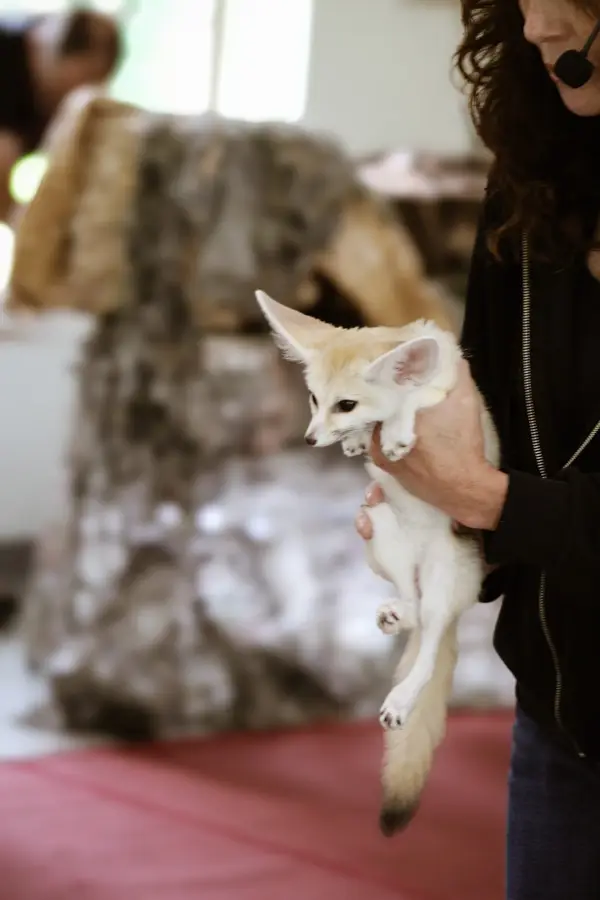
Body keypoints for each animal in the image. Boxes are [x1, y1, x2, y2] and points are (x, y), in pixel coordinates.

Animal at [255, 289, 501, 836]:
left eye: (345, 403)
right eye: (313, 399)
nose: (309, 439)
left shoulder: (451, 387)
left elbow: (410, 400)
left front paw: (395, 429)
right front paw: (356, 440)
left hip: (443, 575)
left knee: (428, 647)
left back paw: (403, 698)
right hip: (383, 526)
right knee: (413, 605)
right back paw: (395, 613)